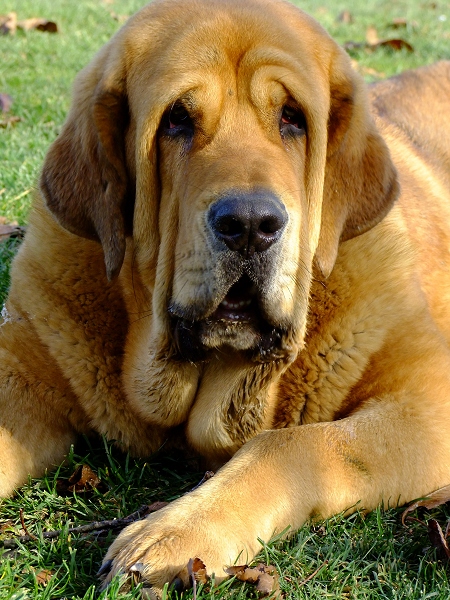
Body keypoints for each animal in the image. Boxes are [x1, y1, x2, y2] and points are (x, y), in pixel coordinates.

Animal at [0, 0, 450, 592]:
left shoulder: (427, 397)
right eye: (176, 119)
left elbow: (292, 444)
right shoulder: (22, 371)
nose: (251, 225)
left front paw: (176, 531)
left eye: (292, 117)